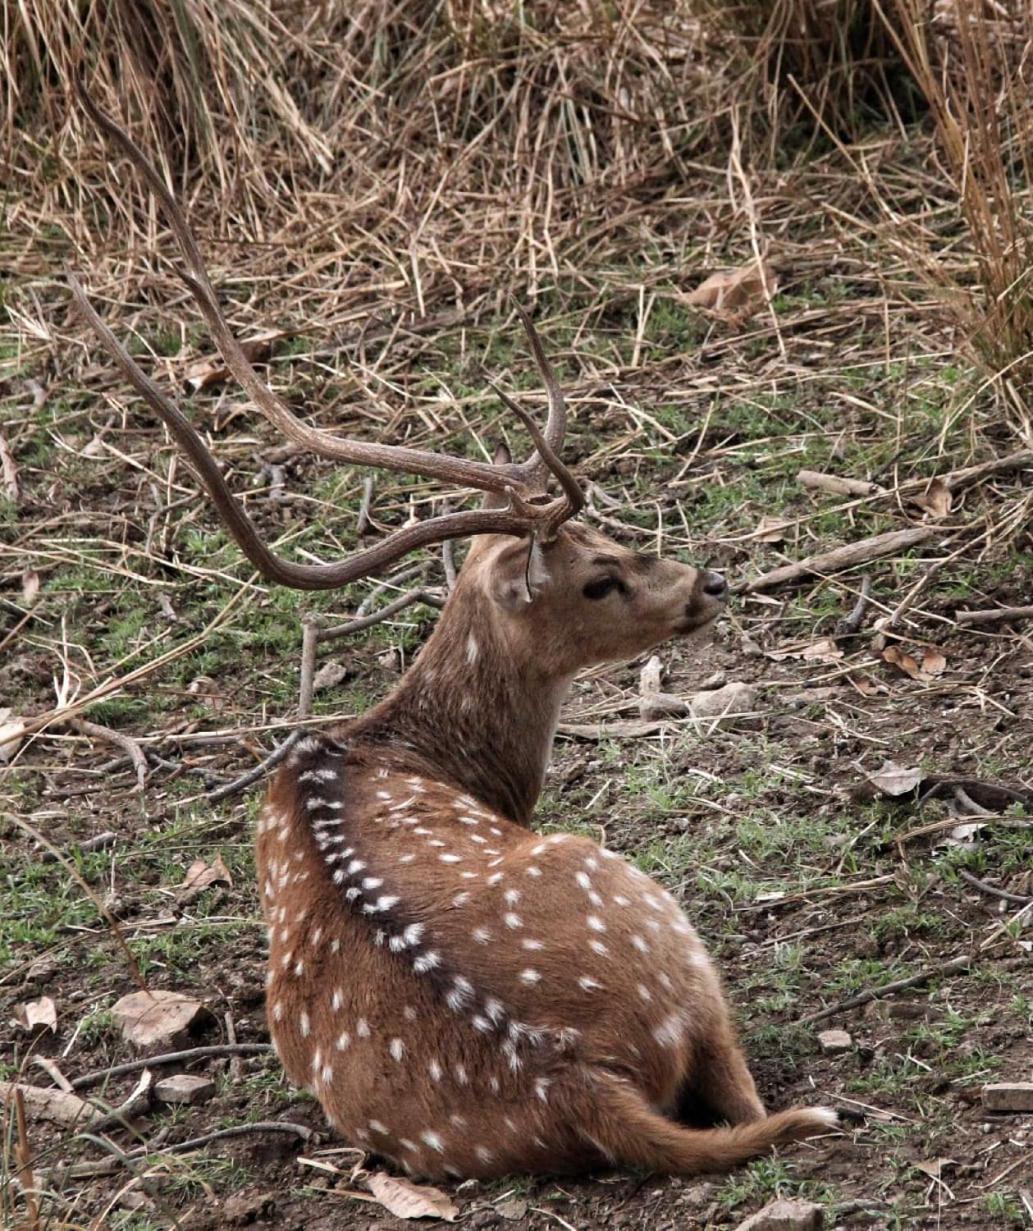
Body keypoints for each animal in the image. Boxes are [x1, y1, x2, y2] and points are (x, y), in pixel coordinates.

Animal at [76, 86, 842, 1181]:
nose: (709, 582)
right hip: (649, 911)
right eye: (599, 577)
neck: (405, 748)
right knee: (745, 1083)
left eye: (612, 531)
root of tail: (578, 1072)